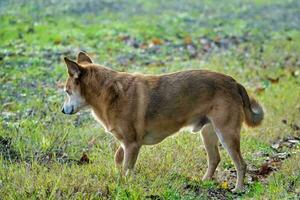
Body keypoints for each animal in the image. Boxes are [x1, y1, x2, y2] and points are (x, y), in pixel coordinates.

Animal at [62, 52, 264, 192]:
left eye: (67, 91)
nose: (62, 111)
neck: (108, 92)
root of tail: (234, 83)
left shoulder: (132, 144)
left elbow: (127, 167)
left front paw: (125, 183)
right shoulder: (127, 143)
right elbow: (118, 158)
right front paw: (119, 175)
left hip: (226, 134)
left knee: (241, 164)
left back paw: (238, 189)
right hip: (208, 133)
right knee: (215, 159)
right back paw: (204, 181)